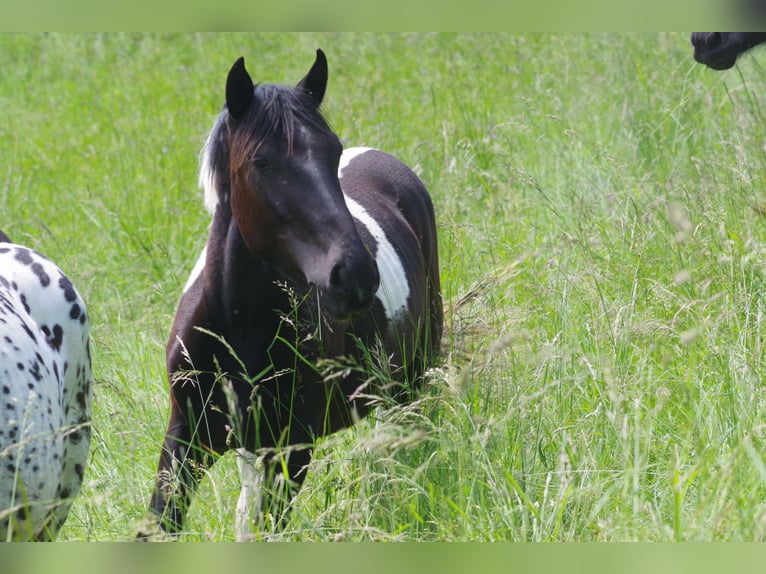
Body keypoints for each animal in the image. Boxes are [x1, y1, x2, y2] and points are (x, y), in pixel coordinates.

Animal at [146, 49, 444, 540]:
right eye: (261, 162)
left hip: (411, 383)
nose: (356, 275)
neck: (238, 326)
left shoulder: (293, 447)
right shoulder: (186, 438)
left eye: (333, 152)